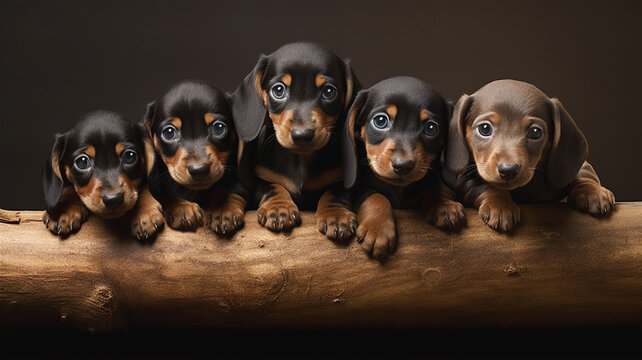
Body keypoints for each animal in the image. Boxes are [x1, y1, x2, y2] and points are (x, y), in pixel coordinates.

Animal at [144, 79, 246, 236]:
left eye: (219, 128)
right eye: (169, 132)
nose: (199, 170)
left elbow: (232, 185)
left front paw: (223, 207)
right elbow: (164, 193)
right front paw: (181, 207)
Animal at [231, 42, 360, 240]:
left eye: (329, 91)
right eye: (278, 90)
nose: (302, 135)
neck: (300, 160)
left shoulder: (340, 178)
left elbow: (335, 192)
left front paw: (336, 215)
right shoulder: (262, 176)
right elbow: (272, 186)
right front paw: (279, 208)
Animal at [342, 77, 462, 260]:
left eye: (431, 128)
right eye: (380, 121)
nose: (402, 165)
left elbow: (435, 184)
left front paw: (444, 204)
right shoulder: (359, 188)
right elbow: (375, 197)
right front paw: (379, 229)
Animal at [442, 79, 612, 232]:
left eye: (535, 132)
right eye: (484, 129)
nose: (508, 170)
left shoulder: (578, 167)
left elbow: (583, 175)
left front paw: (593, 191)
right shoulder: (468, 179)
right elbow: (487, 186)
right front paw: (501, 205)